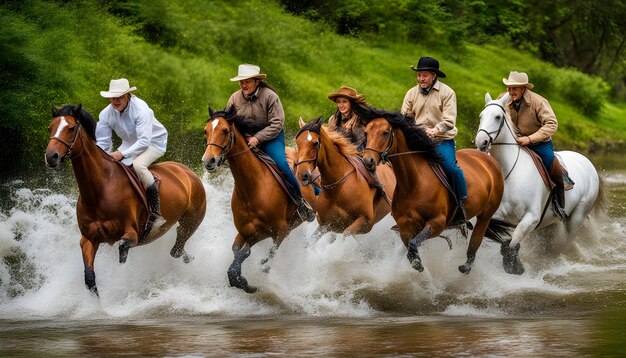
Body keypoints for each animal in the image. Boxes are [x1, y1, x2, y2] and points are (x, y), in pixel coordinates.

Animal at [46, 104, 207, 296]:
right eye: (50, 127)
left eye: (70, 128)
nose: (51, 156)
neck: (99, 192)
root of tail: (187, 172)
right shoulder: (88, 239)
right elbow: (90, 279)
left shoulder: (132, 234)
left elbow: (122, 251)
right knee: (176, 250)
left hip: (192, 221)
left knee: (177, 247)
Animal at [201, 106, 306, 294]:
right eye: (205, 131)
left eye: (225, 130)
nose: (208, 161)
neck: (253, 188)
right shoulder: (246, 232)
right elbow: (237, 254)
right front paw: (243, 282)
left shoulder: (276, 230)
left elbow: (255, 254)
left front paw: (253, 275)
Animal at [358, 107, 510, 272]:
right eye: (366, 132)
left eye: (385, 132)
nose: (368, 161)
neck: (414, 183)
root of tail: (489, 160)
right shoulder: (405, 227)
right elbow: (410, 248)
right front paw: (416, 264)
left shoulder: (437, 223)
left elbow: (413, 246)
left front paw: (419, 266)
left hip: (486, 215)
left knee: (475, 242)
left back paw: (466, 266)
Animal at [472, 92, 604, 274]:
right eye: (481, 116)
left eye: (498, 117)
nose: (481, 142)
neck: (510, 171)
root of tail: (588, 162)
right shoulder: (497, 213)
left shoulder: (532, 218)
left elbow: (513, 241)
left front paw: (514, 265)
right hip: (551, 224)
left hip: (576, 217)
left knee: (567, 242)